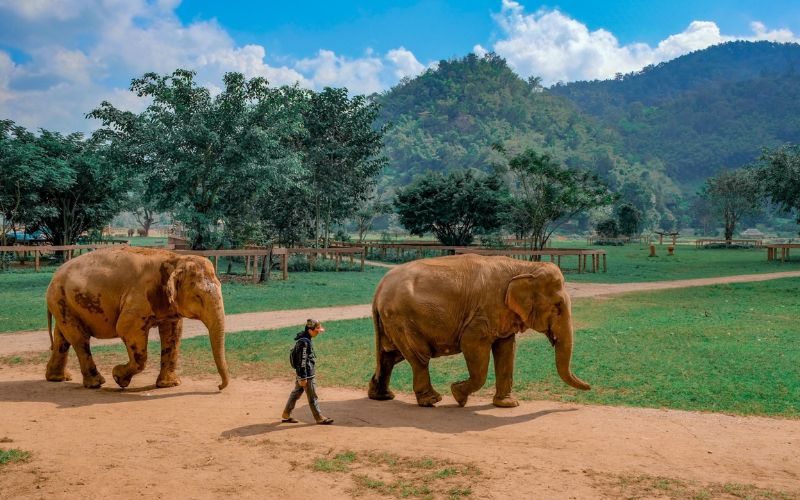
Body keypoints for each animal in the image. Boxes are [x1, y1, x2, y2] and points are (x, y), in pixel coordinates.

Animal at [45, 246, 230, 391]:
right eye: (199, 296)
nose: (219, 386)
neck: (175, 259)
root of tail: (54, 276)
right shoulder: (139, 297)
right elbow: (125, 329)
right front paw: (118, 377)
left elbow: (173, 334)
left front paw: (170, 385)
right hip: (61, 299)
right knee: (80, 339)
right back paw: (96, 383)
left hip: (63, 303)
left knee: (63, 338)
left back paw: (58, 378)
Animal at [367, 254, 590, 407]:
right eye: (558, 306)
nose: (590, 386)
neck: (523, 267)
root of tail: (379, 289)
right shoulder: (483, 313)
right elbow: (472, 345)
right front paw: (458, 395)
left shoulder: (502, 315)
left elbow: (507, 350)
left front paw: (508, 404)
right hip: (401, 319)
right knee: (419, 357)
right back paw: (432, 400)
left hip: (392, 322)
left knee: (390, 356)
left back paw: (382, 397)